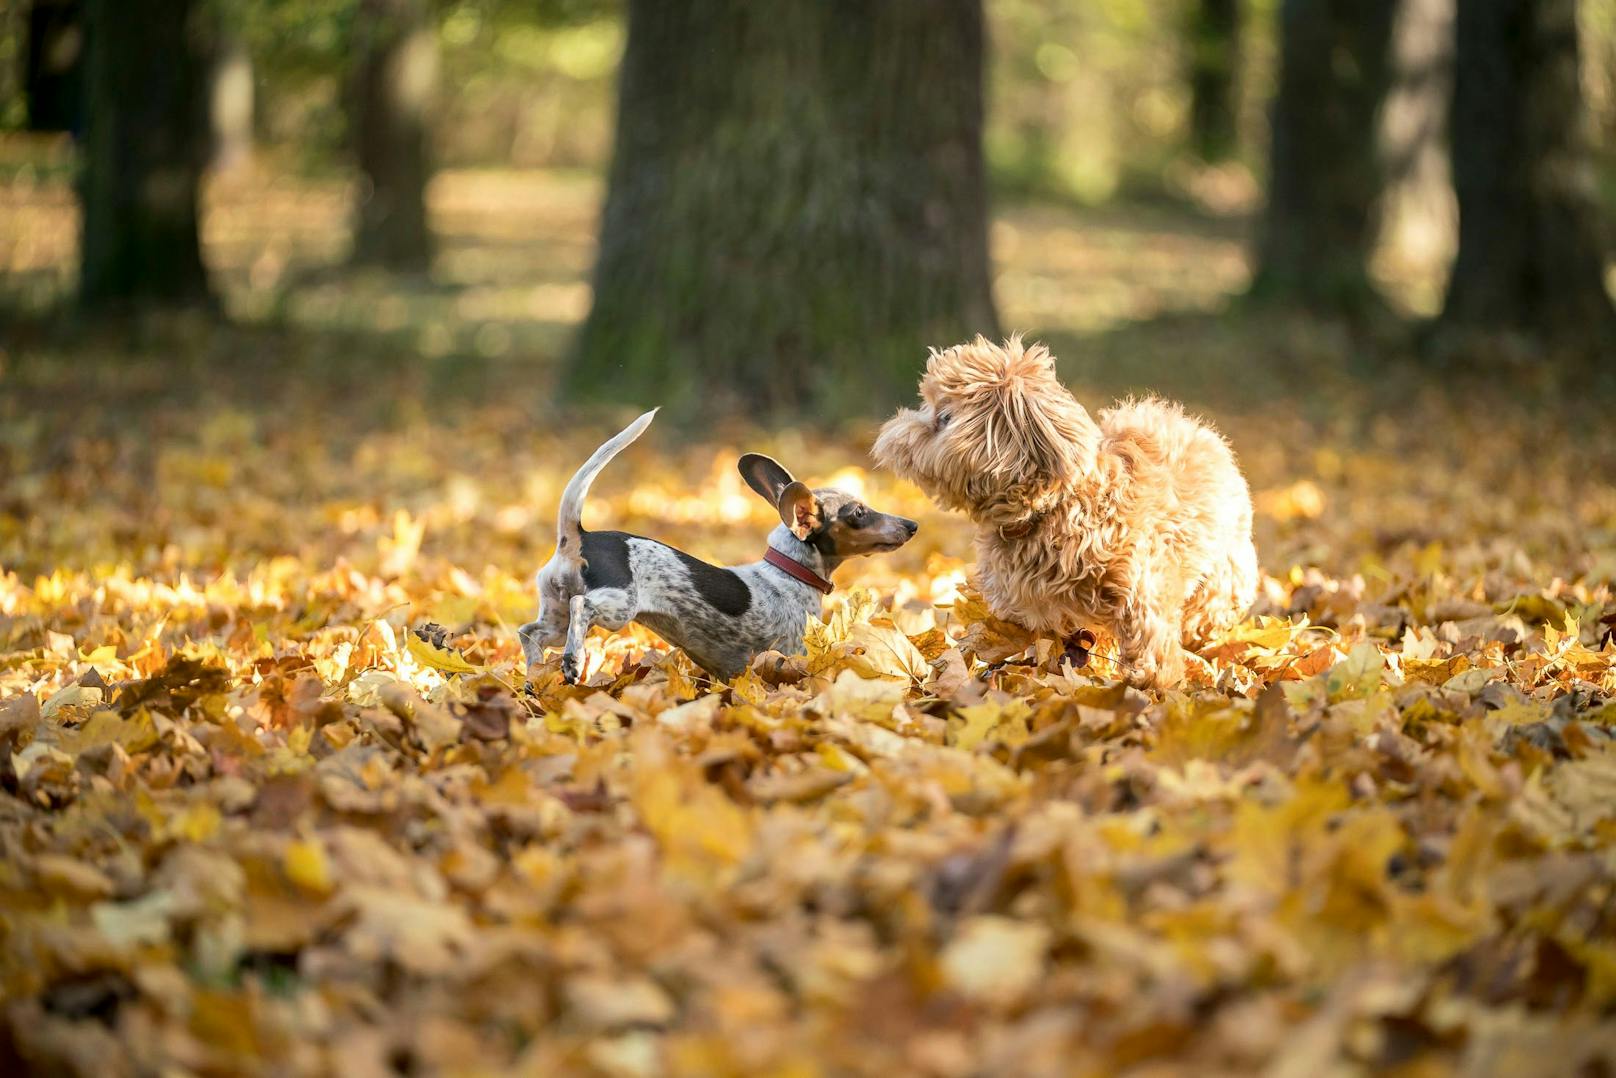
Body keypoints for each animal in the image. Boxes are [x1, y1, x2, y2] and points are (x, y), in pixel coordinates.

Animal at [520, 413, 917, 682]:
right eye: (859, 512)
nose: (912, 525)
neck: (788, 572)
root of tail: (578, 535)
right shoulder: (792, 652)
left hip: (554, 616)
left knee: (528, 632)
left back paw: (534, 676)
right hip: (616, 608)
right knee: (580, 606)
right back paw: (573, 661)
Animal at [872, 337, 1260, 688]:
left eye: (943, 417)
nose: (893, 430)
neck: (1049, 510)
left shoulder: (1141, 591)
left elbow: (1150, 645)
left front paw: (1154, 684)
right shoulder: (1024, 609)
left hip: (1224, 570)